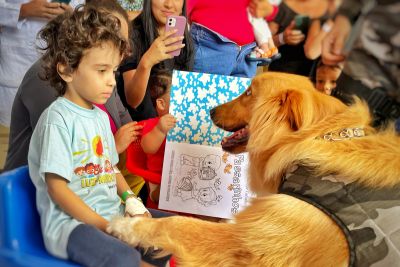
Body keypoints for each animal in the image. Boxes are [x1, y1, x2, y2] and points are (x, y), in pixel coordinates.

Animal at [107, 72, 400, 266]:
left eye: (249, 92)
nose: (211, 110)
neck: (310, 139)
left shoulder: (249, 242)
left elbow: (178, 223)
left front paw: (126, 226)